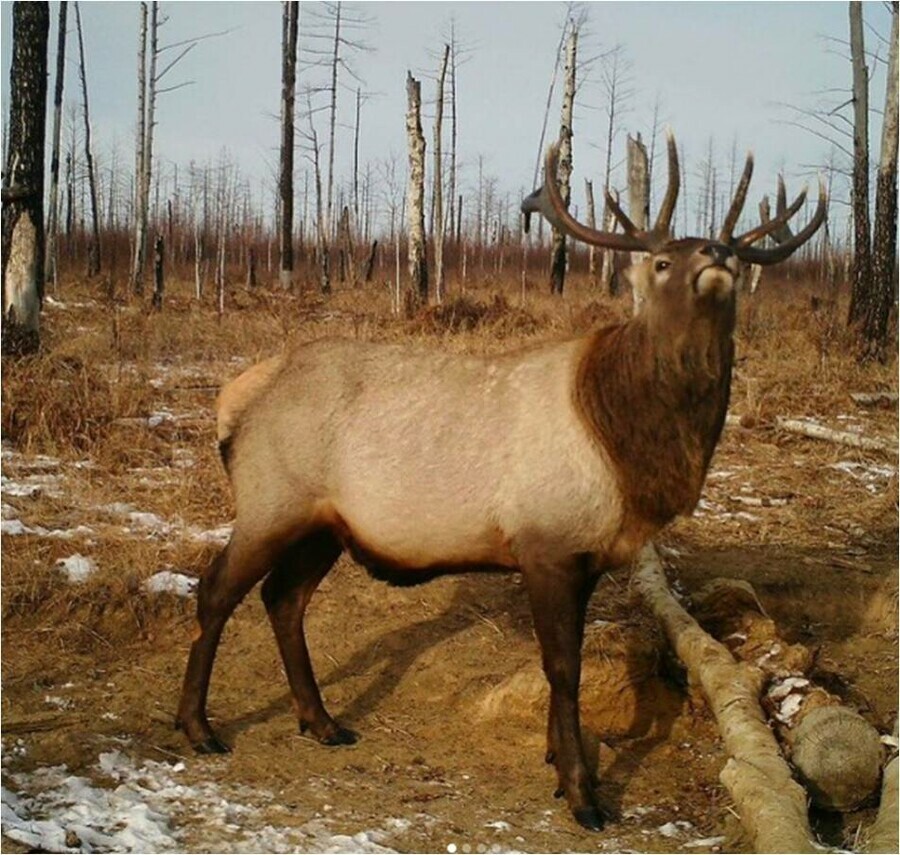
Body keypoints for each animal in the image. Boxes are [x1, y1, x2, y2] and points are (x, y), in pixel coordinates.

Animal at [172, 132, 828, 828]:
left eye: (720, 249)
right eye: (660, 262)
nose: (718, 253)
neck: (627, 450)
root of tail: (233, 399)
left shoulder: (588, 556)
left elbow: (564, 664)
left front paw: (556, 760)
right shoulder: (546, 543)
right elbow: (562, 668)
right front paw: (581, 791)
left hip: (324, 524)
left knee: (283, 598)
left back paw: (320, 721)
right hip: (271, 499)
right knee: (216, 590)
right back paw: (198, 726)